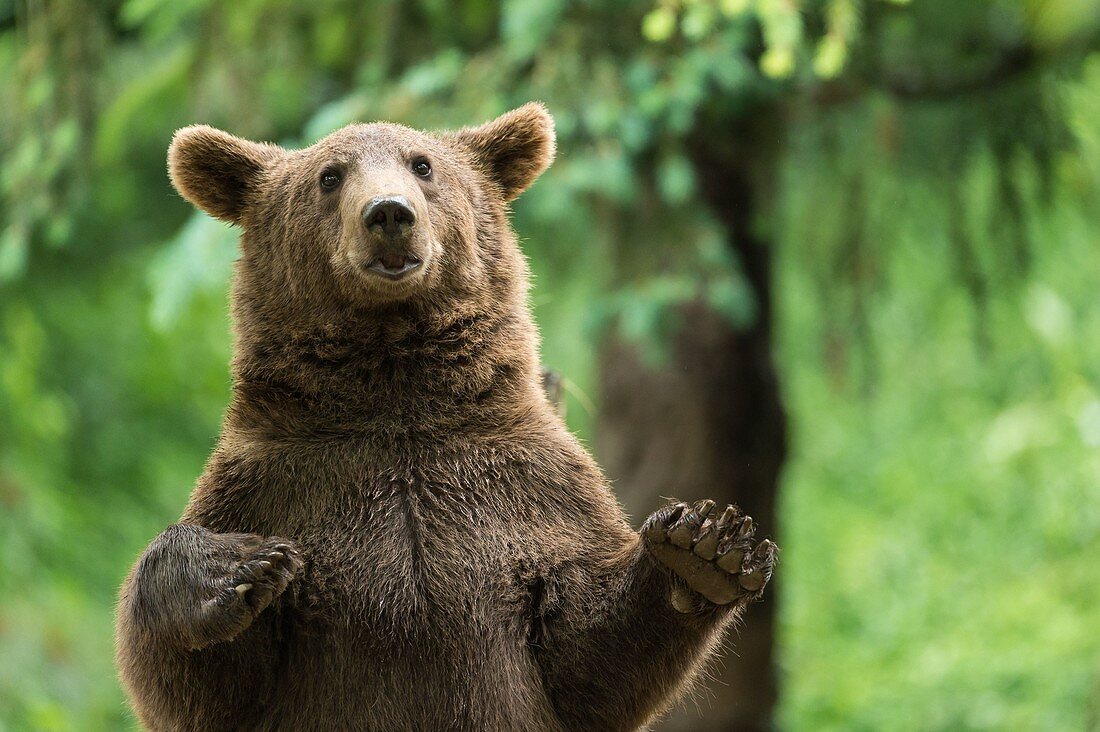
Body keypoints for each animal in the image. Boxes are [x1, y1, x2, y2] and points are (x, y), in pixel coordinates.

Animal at [116, 104, 778, 730]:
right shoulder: (276, 484)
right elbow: (195, 684)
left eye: (423, 165)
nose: (388, 213)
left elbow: (589, 653)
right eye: (330, 176)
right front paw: (233, 567)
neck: (397, 398)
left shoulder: (531, 489)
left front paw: (706, 548)